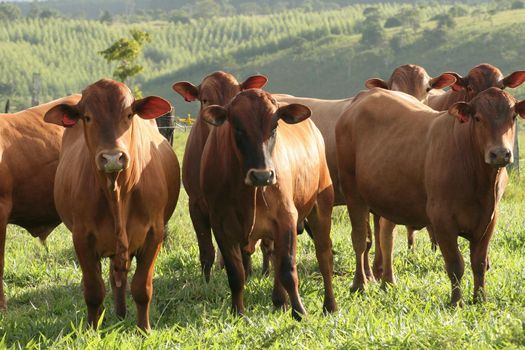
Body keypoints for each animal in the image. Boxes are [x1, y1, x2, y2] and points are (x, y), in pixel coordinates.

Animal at [43, 79, 178, 330]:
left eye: (129, 114)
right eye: (87, 117)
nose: (113, 157)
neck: (117, 193)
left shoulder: (154, 233)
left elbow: (142, 287)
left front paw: (144, 329)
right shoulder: (81, 238)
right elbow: (94, 290)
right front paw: (92, 329)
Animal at [174, 72, 268, 282]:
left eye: (236, 97)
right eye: (205, 100)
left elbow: (244, 247)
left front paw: (246, 274)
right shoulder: (195, 203)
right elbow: (206, 248)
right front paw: (206, 280)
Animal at [201, 89, 336, 318]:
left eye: (274, 127)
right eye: (237, 127)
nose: (262, 175)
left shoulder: (287, 218)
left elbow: (288, 269)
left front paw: (299, 312)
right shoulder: (220, 227)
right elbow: (236, 274)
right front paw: (238, 311)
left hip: (321, 207)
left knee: (324, 256)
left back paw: (329, 305)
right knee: (274, 256)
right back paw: (279, 301)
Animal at [336, 88, 524, 306]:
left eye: (513, 117)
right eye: (477, 118)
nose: (500, 153)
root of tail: (366, 94)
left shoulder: (489, 220)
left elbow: (479, 262)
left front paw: (480, 299)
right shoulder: (442, 220)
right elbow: (455, 264)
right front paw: (456, 302)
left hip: (389, 197)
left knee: (386, 237)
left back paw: (387, 283)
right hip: (353, 193)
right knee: (360, 239)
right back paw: (359, 284)